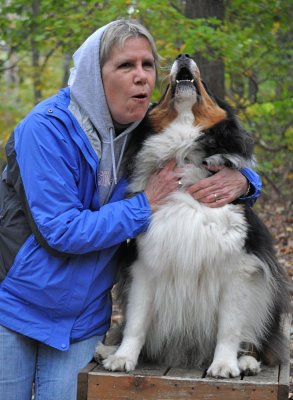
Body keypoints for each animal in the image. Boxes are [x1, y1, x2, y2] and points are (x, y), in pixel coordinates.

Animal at [94, 54, 288, 378]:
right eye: (163, 91)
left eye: (206, 84)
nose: (183, 57)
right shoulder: (145, 262)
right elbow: (136, 321)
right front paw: (123, 358)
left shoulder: (240, 267)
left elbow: (229, 326)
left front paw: (224, 365)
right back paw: (105, 350)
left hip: (267, 296)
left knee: (257, 340)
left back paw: (246, 361)